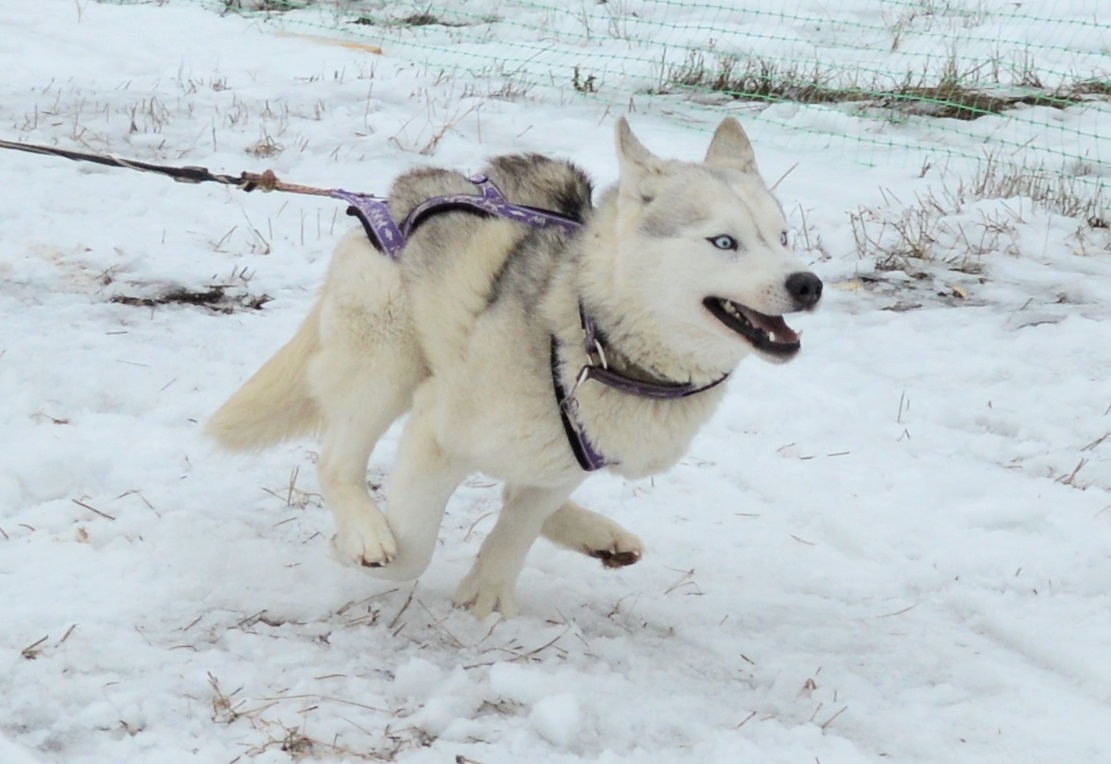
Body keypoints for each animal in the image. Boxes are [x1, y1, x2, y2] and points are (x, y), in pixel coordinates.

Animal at [206, 121, 817, 621]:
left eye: (783, 237)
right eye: (724, 242)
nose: (808, 283)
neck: (590, 335)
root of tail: (391, 198)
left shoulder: (570, 452)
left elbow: (519, 524)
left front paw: (488, 591)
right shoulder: (436, 431)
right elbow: (414, 550)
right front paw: (353, 551)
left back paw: (596, 533)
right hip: (385, 362)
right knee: (336, 462)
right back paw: (362, 528)